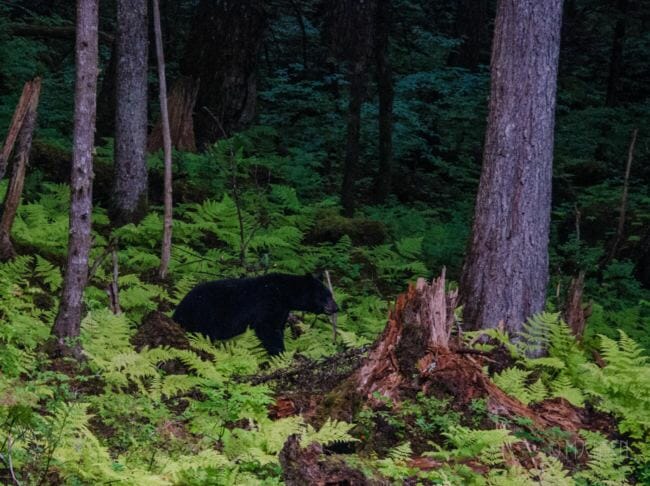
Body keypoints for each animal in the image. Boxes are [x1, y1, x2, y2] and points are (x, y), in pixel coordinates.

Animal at [170, 274, 336, 354]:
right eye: (326, 295)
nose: (336, 307)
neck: (284, 293)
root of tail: (179, 309)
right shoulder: (268, 304)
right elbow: (268, 330)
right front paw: (280, 353)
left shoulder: (282, 310)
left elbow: (277, 328)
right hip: (202, 316)